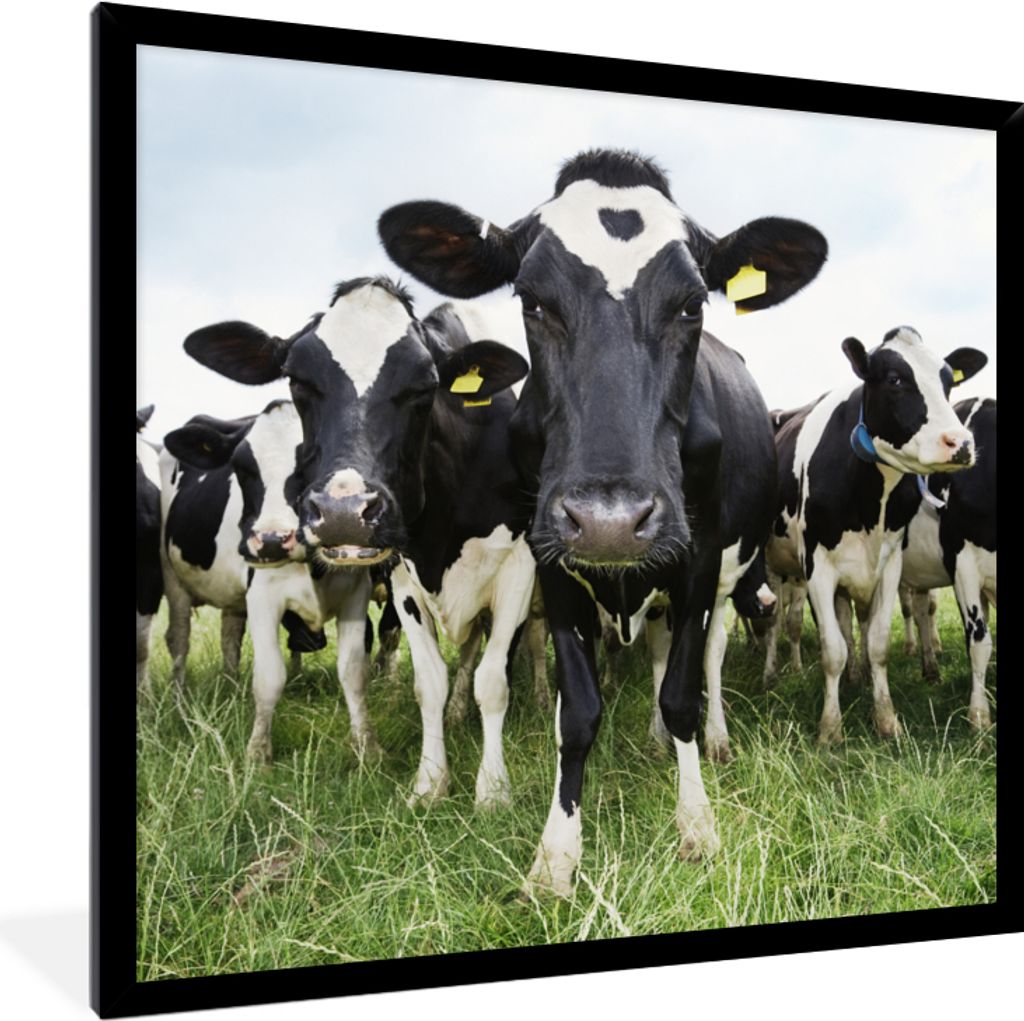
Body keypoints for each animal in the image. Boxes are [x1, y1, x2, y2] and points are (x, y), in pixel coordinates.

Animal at [162, 398, 379, 761]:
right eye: (241, 467)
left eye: (312, 458)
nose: (273, 540)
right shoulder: (263, 595)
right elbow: (269, 677)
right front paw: (258, 753)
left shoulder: (355, 592)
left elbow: (354, 671)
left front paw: (367, 747)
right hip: (173, 578)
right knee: (178, 639)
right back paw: (179, 704)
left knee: (229, 636)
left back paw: (232, 688)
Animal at [377, 147, 827, 894]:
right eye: (531, 300)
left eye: (692, 302)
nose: (611, 521)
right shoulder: (552, 561)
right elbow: (578, 711)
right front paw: (556, 855)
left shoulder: (699, 559)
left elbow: (681, 694)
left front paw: (697, 824)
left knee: (702, 659)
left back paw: (706, 741)